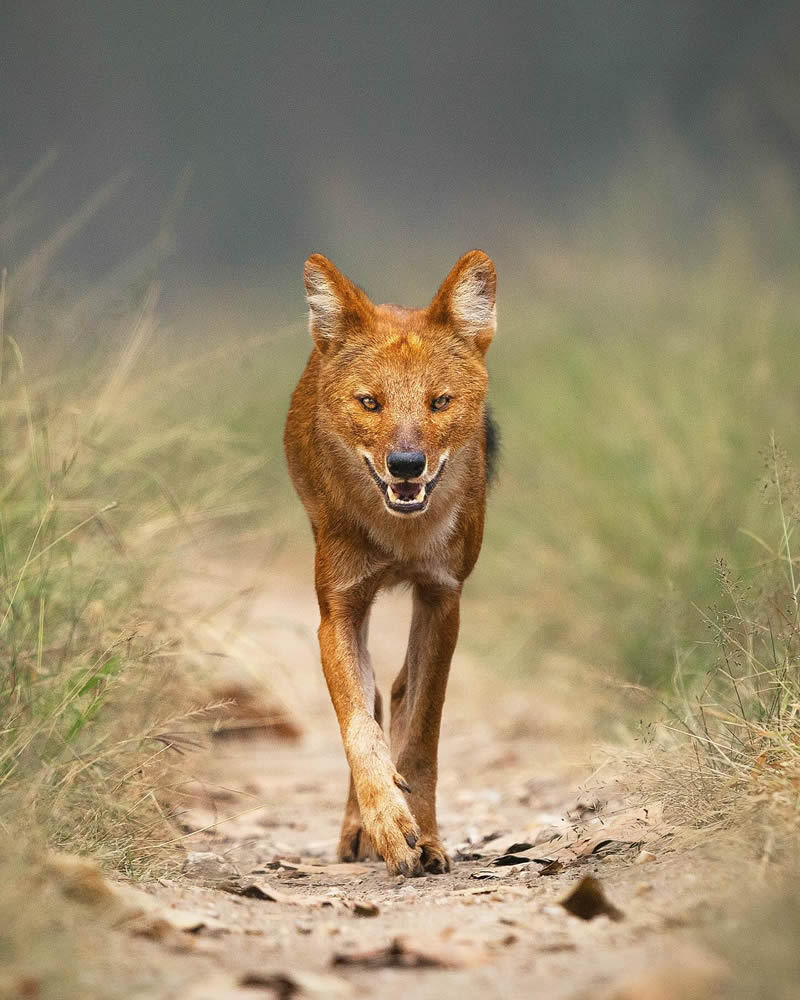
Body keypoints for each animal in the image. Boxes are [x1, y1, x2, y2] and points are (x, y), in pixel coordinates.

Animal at [284, 250, 496, 876]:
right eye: (370, 402)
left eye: (439, 402)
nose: (406, 464)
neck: (402, 539)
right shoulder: (339, 607)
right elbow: (359, 725)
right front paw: (385, 823)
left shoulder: (442, 596)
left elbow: (422, 732)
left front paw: (424, 835)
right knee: (377, 698)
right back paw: (357, 831)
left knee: (400, 691)